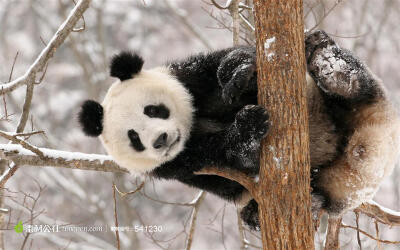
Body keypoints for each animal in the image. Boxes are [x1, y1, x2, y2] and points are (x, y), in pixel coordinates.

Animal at [79, 31, 400, 230]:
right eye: (134, 138)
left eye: (153, 110)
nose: (161, 139)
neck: (192, 127)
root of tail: (367, 150)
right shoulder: (178, 165)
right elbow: (232, 167)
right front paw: (248, 127)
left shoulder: (189, 78)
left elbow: (228, 65)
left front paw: (238, 74)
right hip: (332, 180)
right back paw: (290, 206)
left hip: (351, 105)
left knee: (358, 88)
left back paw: (331, 66)